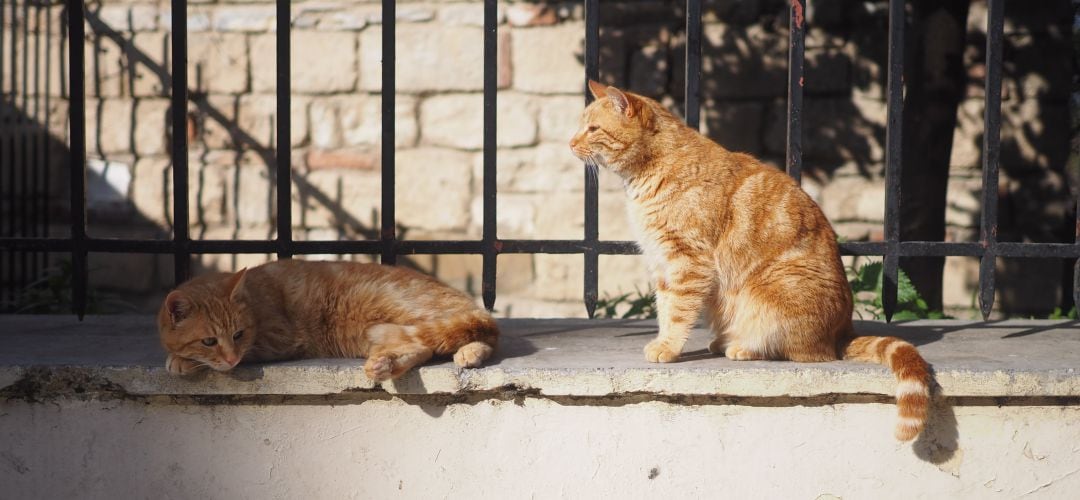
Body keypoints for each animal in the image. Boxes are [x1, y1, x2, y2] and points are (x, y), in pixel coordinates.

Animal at [155, 260, 496, 382]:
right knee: (424, 347)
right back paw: (386, 366)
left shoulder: (279, 338)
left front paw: (181, 360)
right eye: (209, 340)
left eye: (238, 335)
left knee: (468, 332)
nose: (230, 357)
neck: (254, 299)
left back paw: (468, 352)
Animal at [570, 80, 933, 442]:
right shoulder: (662, 264)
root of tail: (843, 331)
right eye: (581, 126)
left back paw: (741, 346)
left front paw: (668, 347)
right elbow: (663, 308)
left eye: (593, 129)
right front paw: (663, 339)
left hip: (770, 292)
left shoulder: (687, 261)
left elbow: (677, 314)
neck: (653, 169)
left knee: (803, 352)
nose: (571, 143)